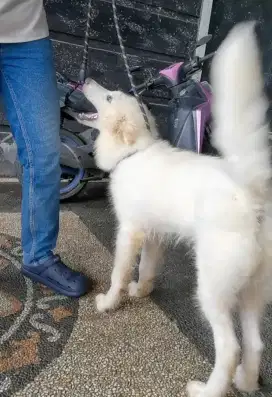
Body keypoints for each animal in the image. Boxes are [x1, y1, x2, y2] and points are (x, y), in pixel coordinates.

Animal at [76, 23, 272, 396]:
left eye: (108, 97)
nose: (87, 79)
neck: (133, 153)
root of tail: (250, 191)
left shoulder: (129, 231)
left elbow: (119, 272)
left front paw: (109, 302)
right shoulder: (154, 234)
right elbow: (147, 268)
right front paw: (142, 291)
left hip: (212, 289)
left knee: (230, 348)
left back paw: (207, 390)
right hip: (252, 290)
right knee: (255, 344)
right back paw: (246, 381)